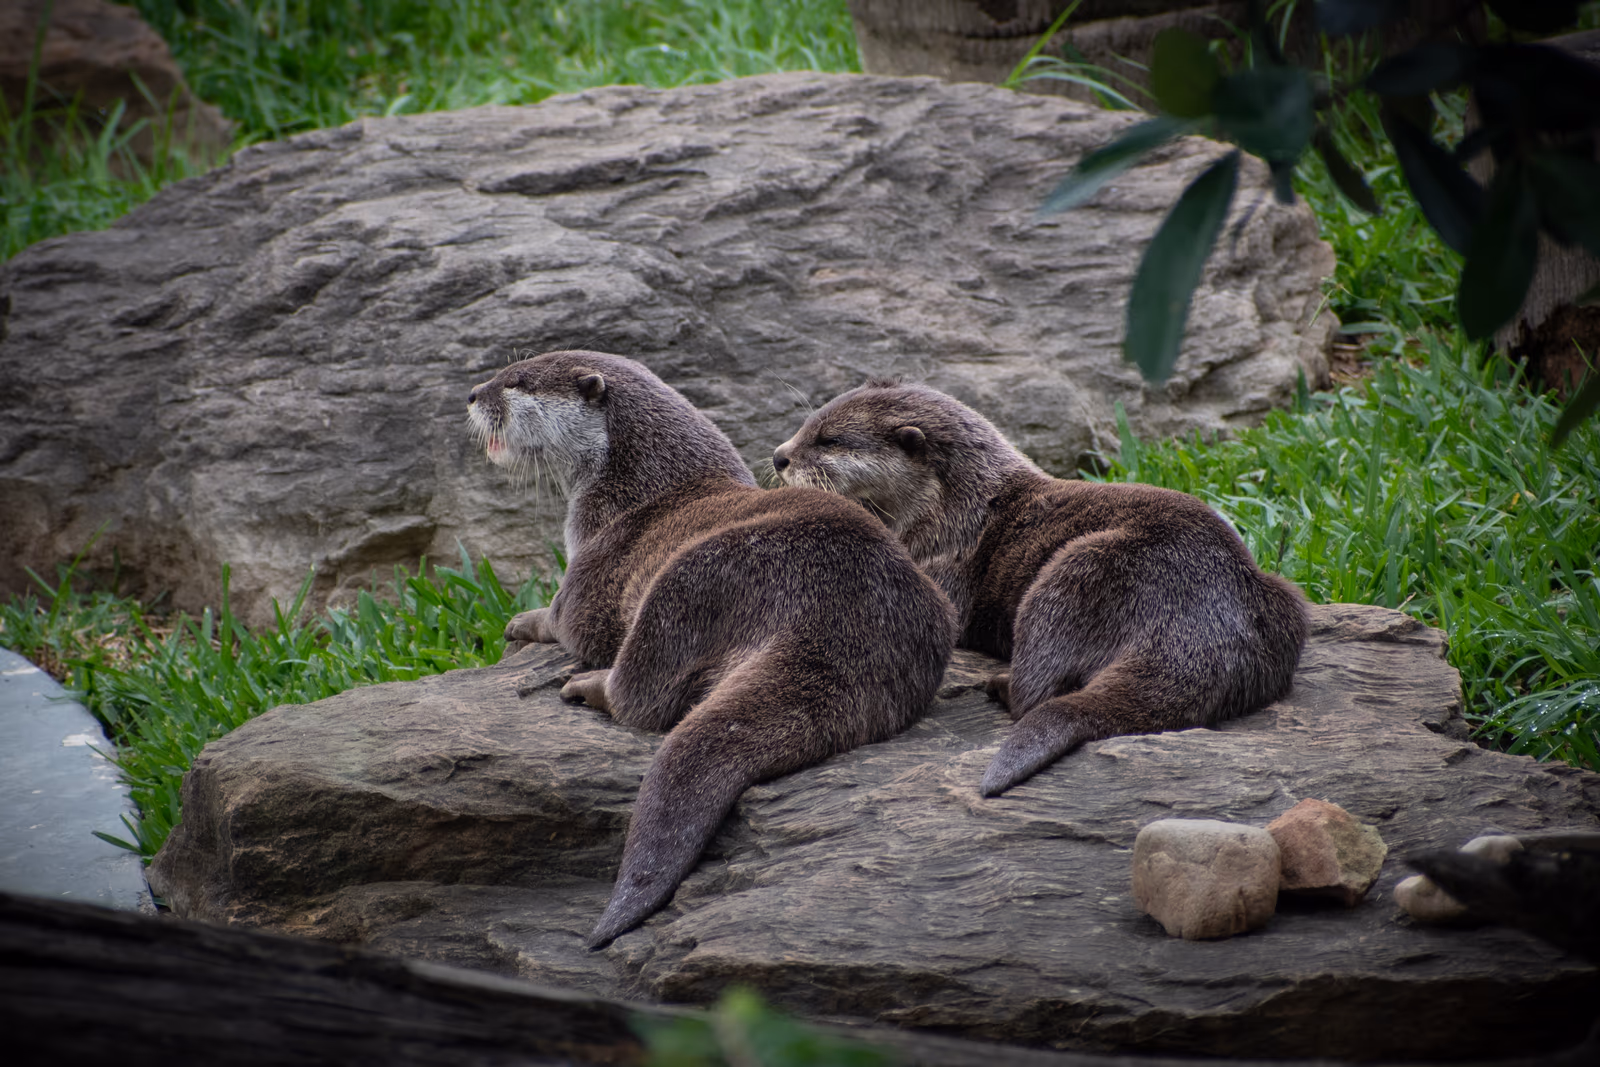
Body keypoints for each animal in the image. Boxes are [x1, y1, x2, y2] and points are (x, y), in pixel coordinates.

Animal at [467, 352, 955, 947]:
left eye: (517, 381)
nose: (473, 394)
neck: (639, 491)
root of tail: (846, 614)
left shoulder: (593, 569)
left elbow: (565, 622)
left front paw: (520, 621)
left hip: (690, 577)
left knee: (644, 697)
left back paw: (586, 687)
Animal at [772, 381, 1307, 797]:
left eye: (828, 439)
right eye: (806, 424)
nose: (779, 457)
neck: (953, 512)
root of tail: (1202, 628)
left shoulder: (944, 565)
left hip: (1075, 571)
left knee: (1035, 691)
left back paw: (999, 685)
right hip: (1284, 599)